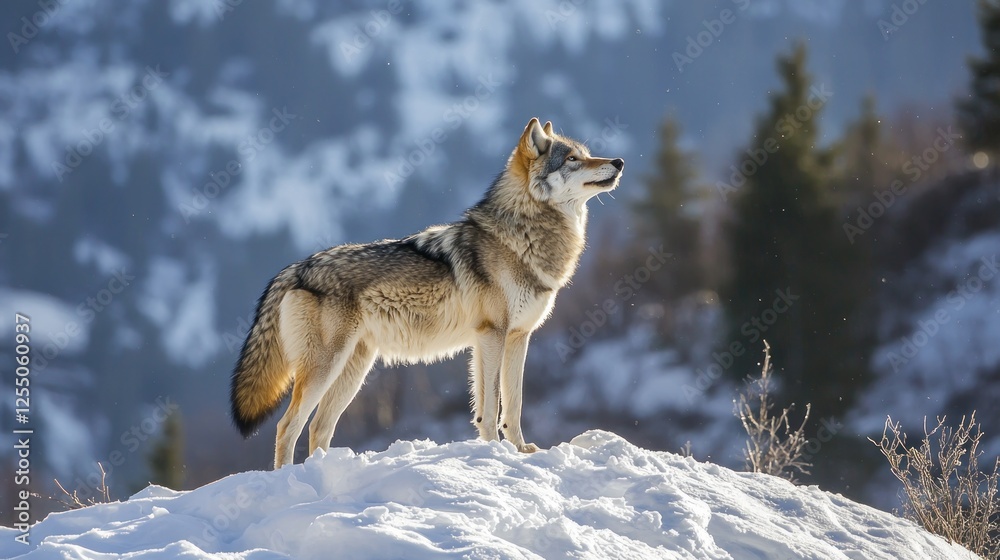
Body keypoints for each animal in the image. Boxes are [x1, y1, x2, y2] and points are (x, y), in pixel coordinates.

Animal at [230, 117, 624, 468]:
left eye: (587, 154)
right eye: (572, 159)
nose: (619, 162)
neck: (521, 237)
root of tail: (296, 268)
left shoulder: (516, 337)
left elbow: (511, 404)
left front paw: (520, 451)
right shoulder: (492, 334)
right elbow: (492, 405)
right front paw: (497, 452)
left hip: (354, 369)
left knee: (318, 427)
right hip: (326, 367)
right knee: (288, 426)